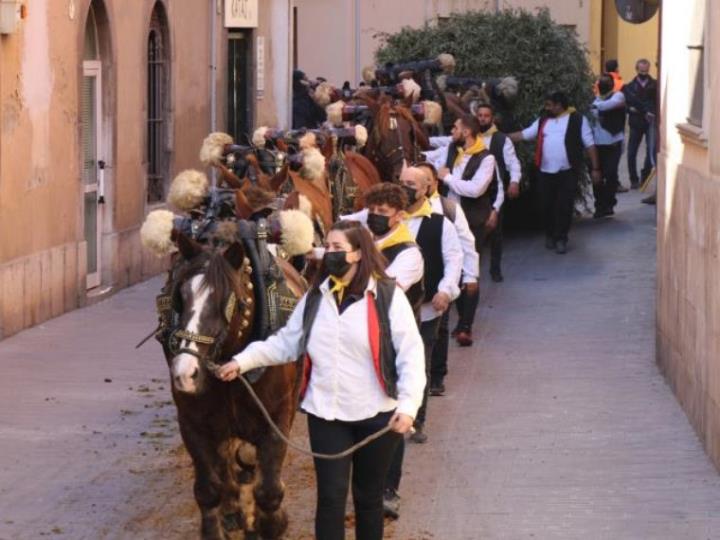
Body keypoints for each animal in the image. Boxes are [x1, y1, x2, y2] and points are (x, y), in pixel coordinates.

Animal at [159, 230, 306, 536]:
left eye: (227, 300)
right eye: (181, 295)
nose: (185, 372)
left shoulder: (277, 419)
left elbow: (268, 491)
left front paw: (271, 523)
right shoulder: (193, 423)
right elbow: (209, 490)